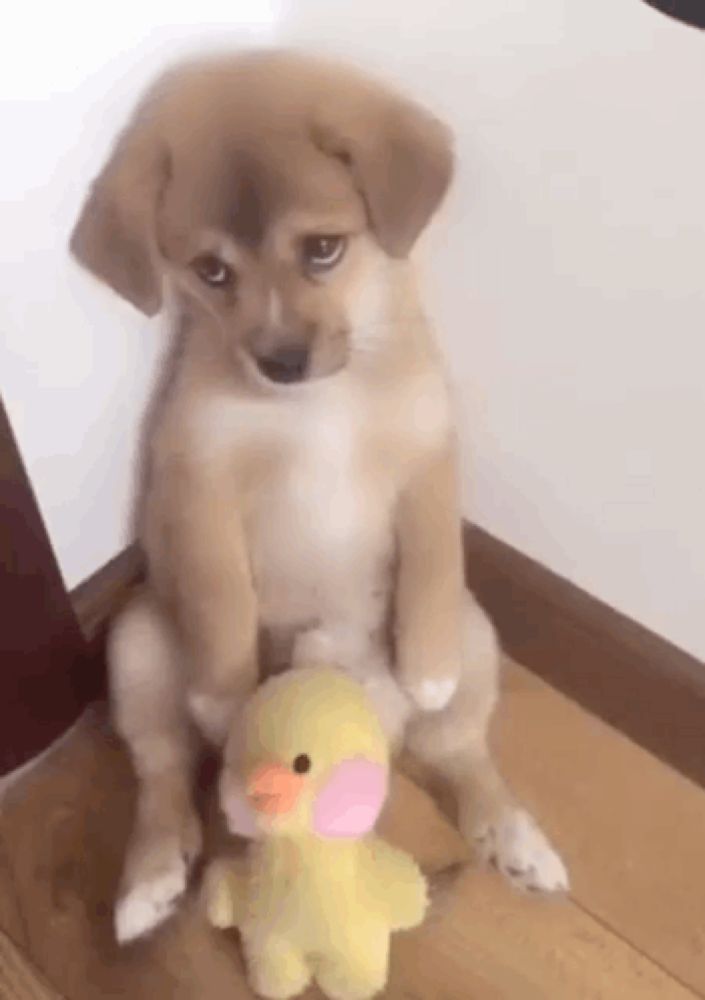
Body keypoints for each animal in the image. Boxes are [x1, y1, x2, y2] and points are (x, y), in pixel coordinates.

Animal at [71, 50, 568, 944]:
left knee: (460, 756)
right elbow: (222, 604)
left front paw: (425, 665)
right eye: (211, 272)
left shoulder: (427, 462)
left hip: (479, 638)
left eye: (324, 250)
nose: (281, 362)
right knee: (163, 777)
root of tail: (375, 726)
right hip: (134, 646)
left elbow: (433, 562)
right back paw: (149, 883)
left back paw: (513, 839)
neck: (320, 409)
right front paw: (227, 697)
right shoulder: (199, 484)